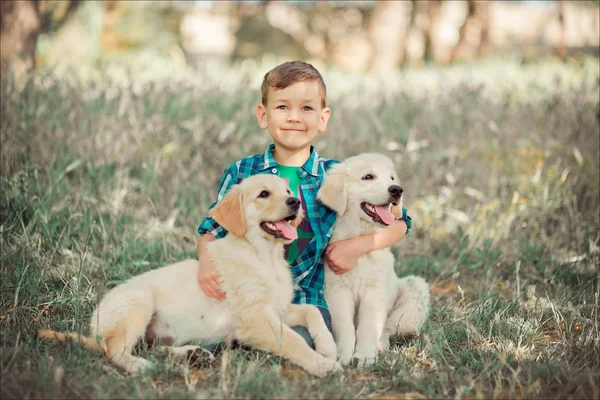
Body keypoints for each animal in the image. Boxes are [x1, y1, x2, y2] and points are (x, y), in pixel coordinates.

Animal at [39, 175, 340, 378]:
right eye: (264, 194)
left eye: (288, 191)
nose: (295, 202)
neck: (263, 256)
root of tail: (95, 326)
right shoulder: (255, 320)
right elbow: (295, 341)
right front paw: (323, 364)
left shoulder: (276, 310)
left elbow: (312, 310)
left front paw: (328, 346)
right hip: (139, 303)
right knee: (114, 350)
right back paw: (139, 366)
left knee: (149, 346)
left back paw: (192, 355)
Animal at [316, 154, 428, 368]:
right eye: (368, 176)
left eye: (392, 178)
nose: (397, 190)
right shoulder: (337, 290)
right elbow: (345, 326)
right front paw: (343, 355)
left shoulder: (375, 291)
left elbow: (369, 326)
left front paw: (365, 356)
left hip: (414, 290)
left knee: (389, 328)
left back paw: (380, 345)